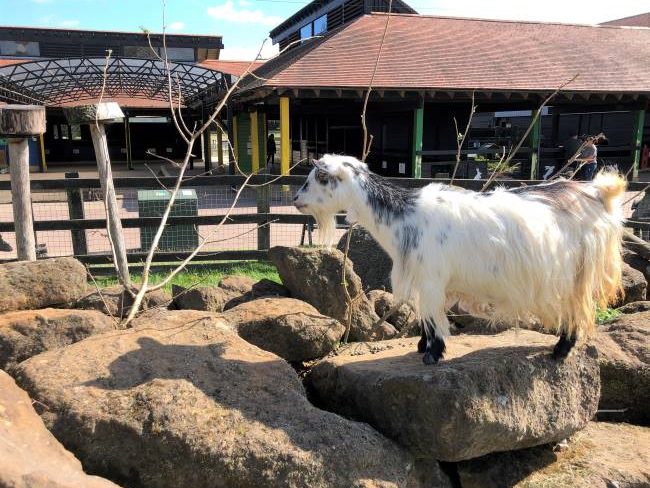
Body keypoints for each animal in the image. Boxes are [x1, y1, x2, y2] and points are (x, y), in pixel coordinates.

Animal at [292, 154, 624, 364]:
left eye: (318, 177)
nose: (295, 199)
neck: (404, 218)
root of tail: (598, 193)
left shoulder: (431, 279)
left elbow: (432, 315)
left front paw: (432, 353)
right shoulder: (426, 281)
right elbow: (426, 315)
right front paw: (423, 346)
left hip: (576, 272)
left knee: (575, 310)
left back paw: (560, 350)